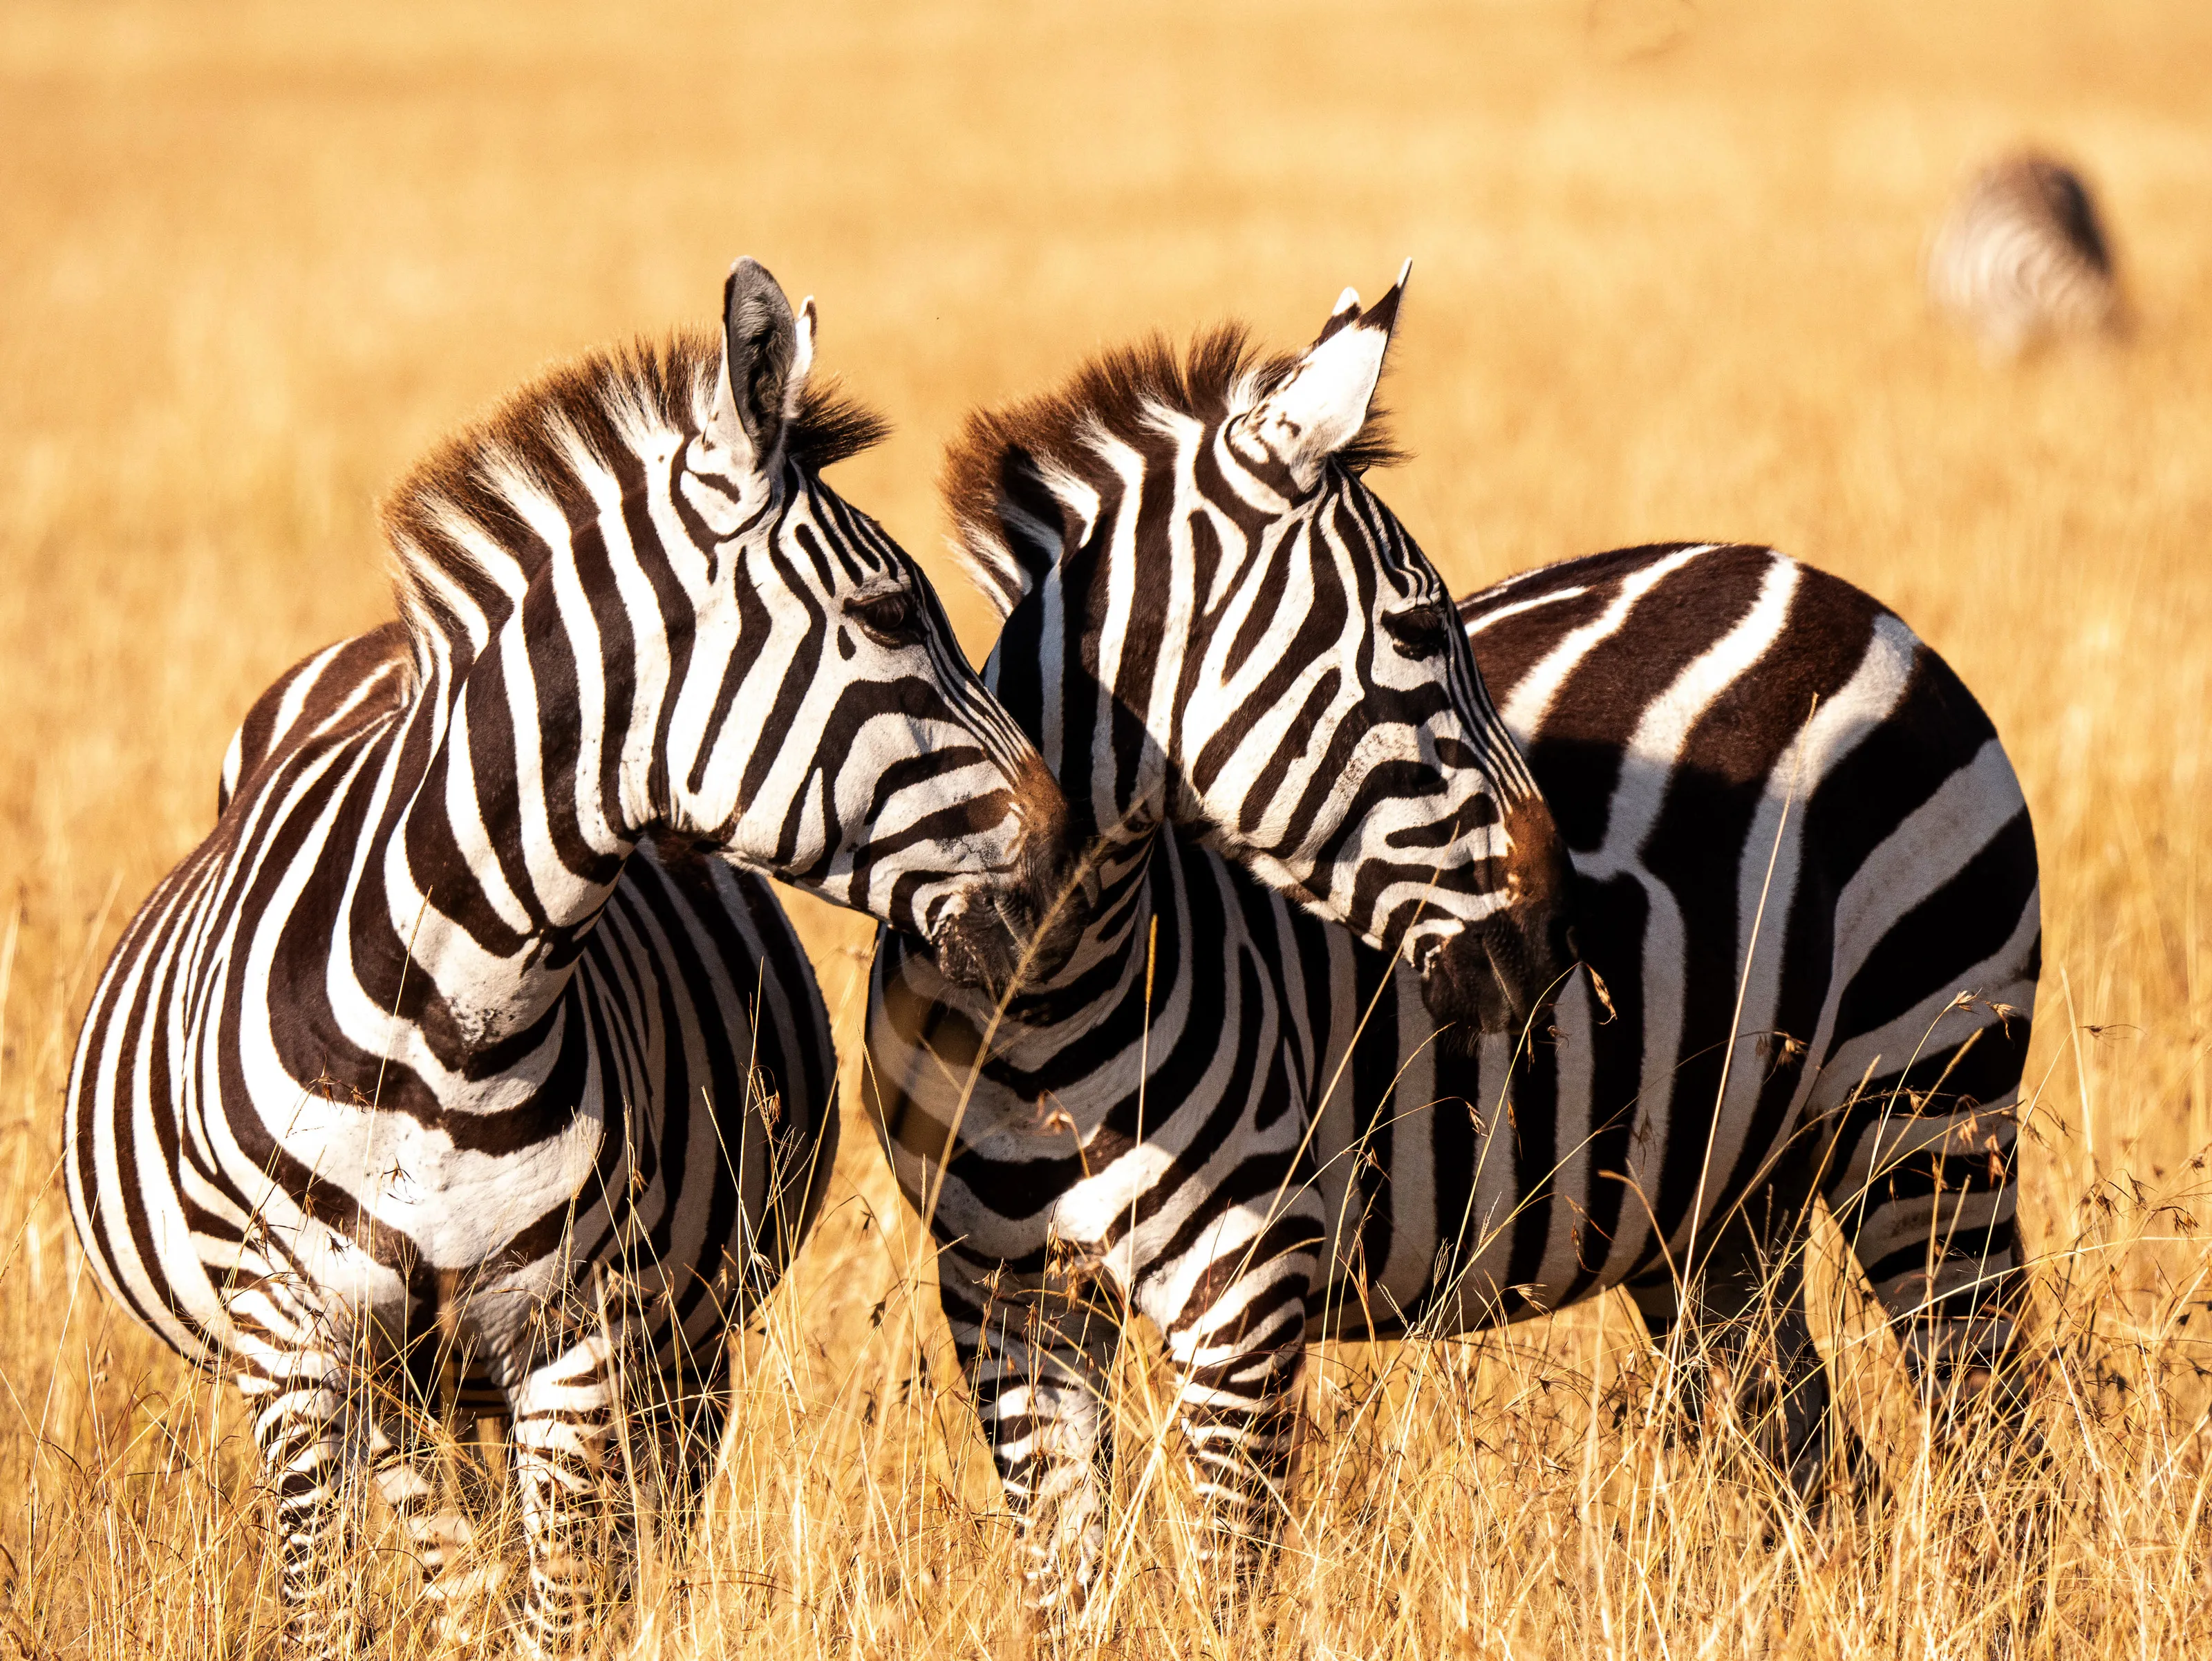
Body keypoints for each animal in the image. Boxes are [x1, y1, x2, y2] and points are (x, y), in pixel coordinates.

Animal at [66, 259, 1078, 1656]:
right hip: (406, 1383)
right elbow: (334, 1610)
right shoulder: (297, 1351)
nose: (1067, 870)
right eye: (886, 614)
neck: (451, 1013)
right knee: (452, 1560)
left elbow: (564, 1608)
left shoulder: (574, 1341)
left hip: (675, 1349)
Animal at [866, 283, 2040, 1612]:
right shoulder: (1006, 1302)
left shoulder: (1245, 1297)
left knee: (1997, 1444)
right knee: (1819, 1465)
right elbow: (1070, 1593)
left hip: (1932, 1099)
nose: (1557, 935)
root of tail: (1841, 596)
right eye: (1424, 629)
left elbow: (1230, 1593)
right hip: (1723, 1201)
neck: (1040, 1007)